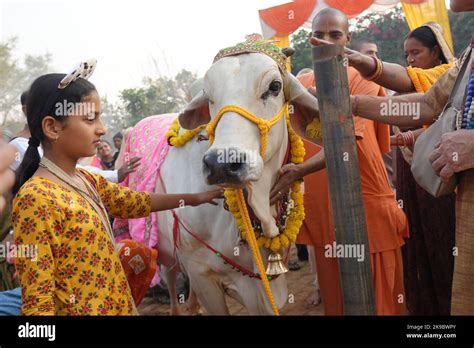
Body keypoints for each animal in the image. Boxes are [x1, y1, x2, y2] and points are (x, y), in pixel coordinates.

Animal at [152, 51, 318, 316]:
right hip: (166, 254)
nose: (220, 164)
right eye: (208, 96)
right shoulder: (201, 273)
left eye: (275, 86)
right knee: (171, 282)